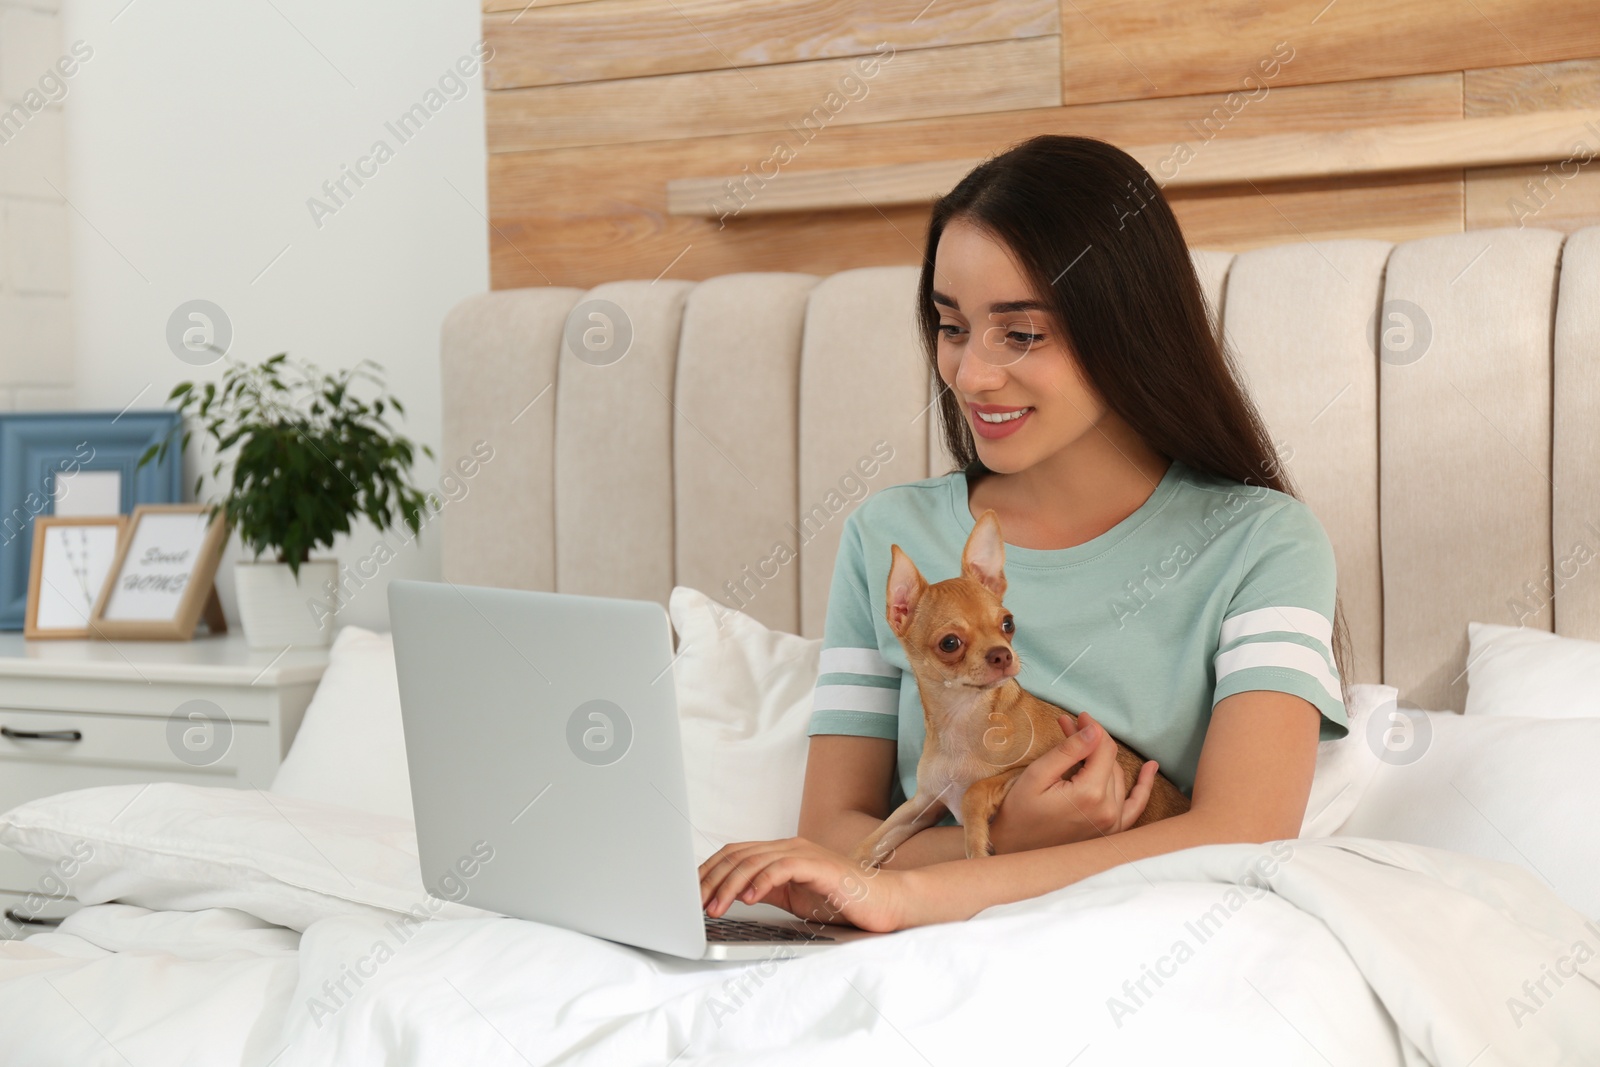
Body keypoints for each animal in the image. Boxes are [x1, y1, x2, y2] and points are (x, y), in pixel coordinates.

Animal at [851, 508, 1190, 870]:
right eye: (950, 643)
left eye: (1008, 623)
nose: (1002, 654)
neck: (962, 716)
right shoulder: (924, 803)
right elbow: (871, 842)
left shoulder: (1033, 768)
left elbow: (974, 791)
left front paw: (975, 845)